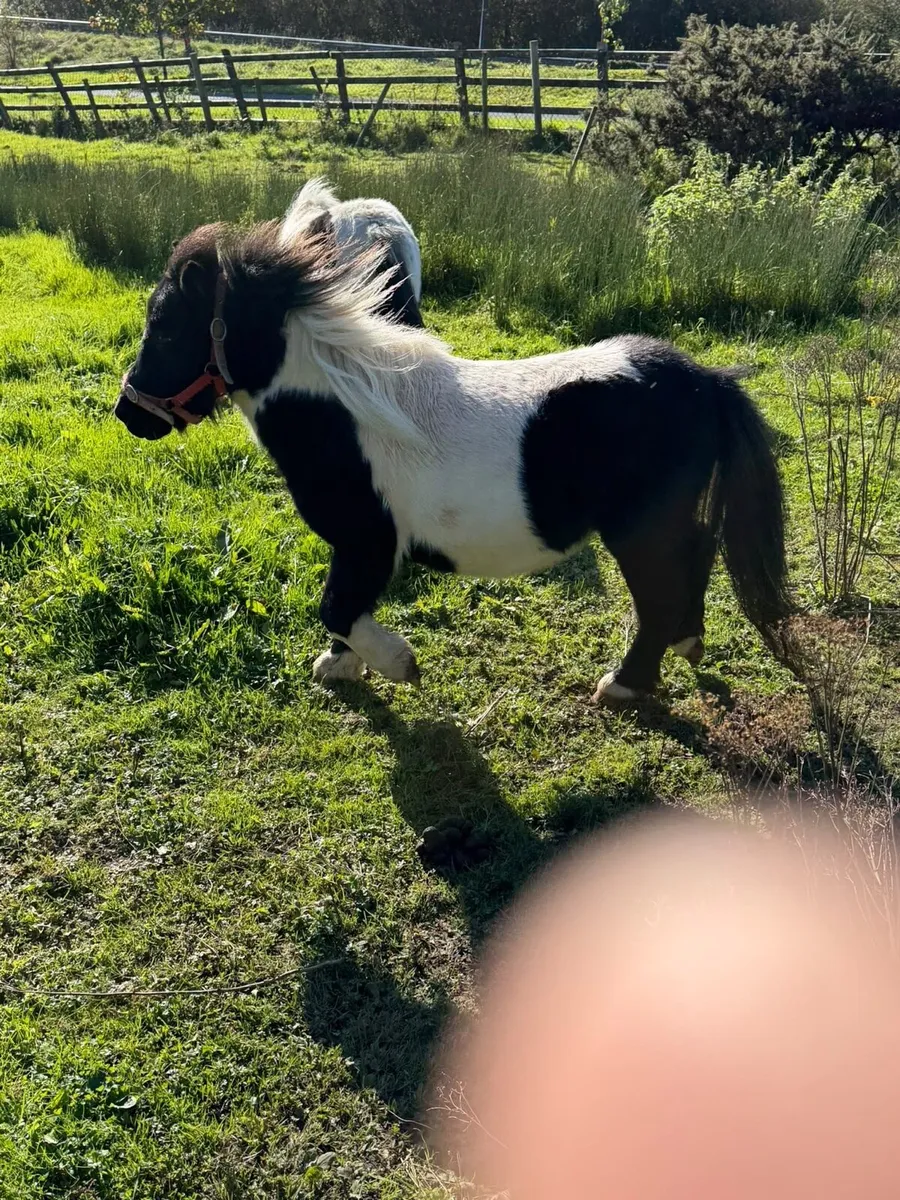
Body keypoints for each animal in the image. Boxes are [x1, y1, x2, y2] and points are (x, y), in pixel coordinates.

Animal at [113, 220, 791, 704]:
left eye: (166, 328)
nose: (128, 413)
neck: (345, 411)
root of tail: (706, 380)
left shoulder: (369, 541)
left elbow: (337, 605)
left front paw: (395, 663)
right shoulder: (357, 548)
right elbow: (343, 605)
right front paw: (339, 664)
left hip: (637, 530)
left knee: (659, 593)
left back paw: (624, 683)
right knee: (695, 561)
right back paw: (688, 644)